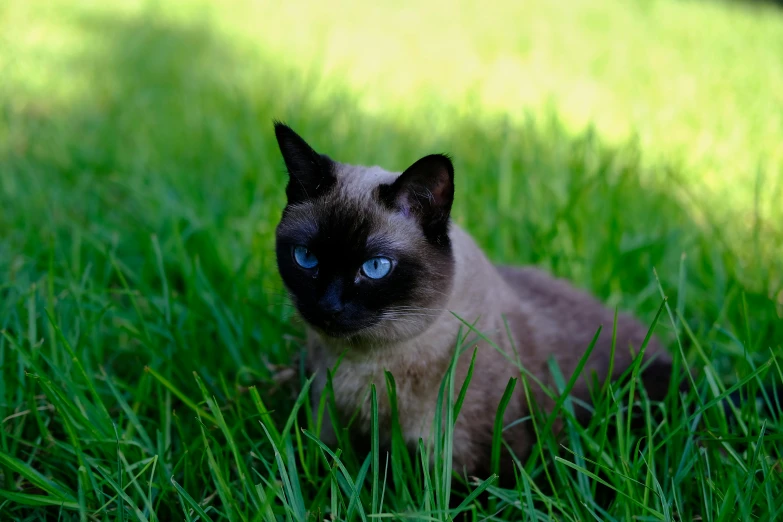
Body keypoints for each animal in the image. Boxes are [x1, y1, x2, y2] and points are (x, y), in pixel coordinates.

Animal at [274, 121, 672, 476]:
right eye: (306, 258)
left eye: (375, 267)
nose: (328, 308)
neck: (365, 366)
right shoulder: (326, 426)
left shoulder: (470, 464)